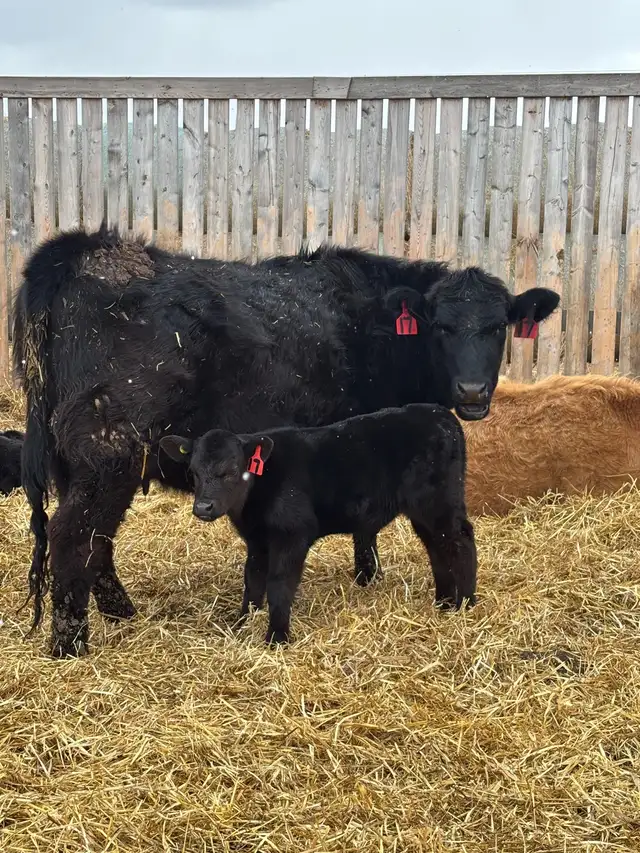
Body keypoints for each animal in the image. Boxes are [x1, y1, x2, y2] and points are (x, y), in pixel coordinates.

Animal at [160, 403, 477, 645]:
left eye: (232, 470)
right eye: (193, 471)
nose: (203, 507)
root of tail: (440, 413)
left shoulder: (292, 535)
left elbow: (279, 584)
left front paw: (277, 638)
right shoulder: (257, 541)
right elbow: (252, 581)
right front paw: (243, 623)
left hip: (439, 502)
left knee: (460, 540)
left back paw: (467, 603)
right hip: (425, 511)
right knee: (437, 546)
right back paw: (444, 603)